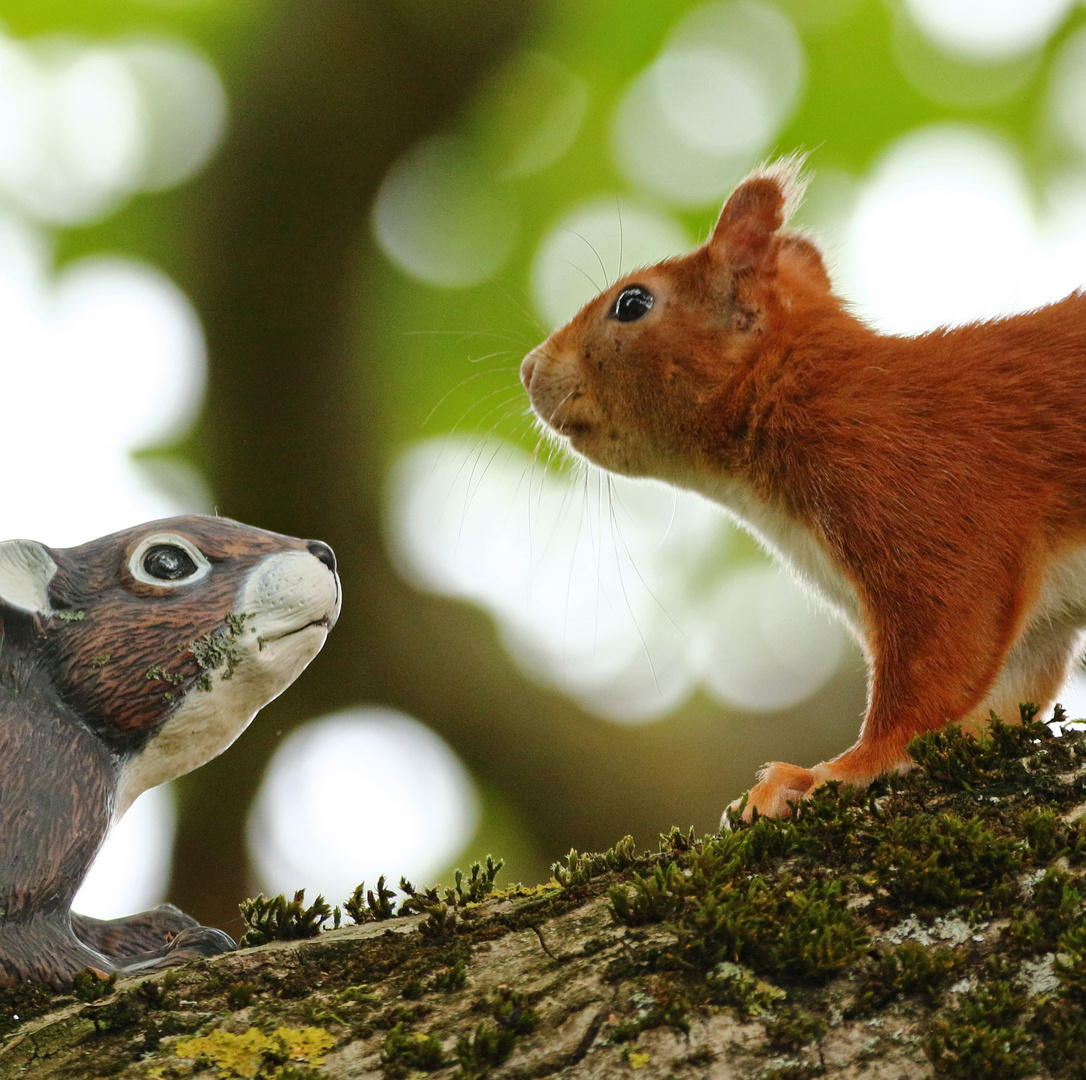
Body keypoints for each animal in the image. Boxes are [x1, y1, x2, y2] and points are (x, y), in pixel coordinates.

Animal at [519, 155, 1086, 817]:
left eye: (632, 303)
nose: (529, 369)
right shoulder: (1035, 624)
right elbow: (999, 692)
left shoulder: (928, 493)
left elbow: (942, 656)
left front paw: (838, 770)